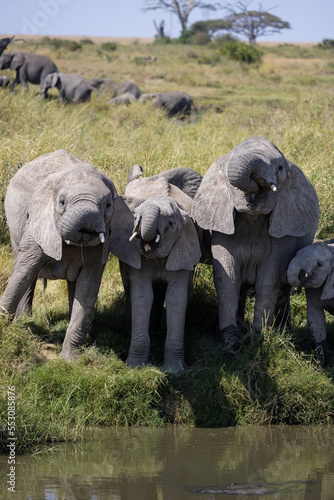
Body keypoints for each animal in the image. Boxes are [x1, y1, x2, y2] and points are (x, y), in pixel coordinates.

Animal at [0, 148, 118, 360]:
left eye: (108, 206)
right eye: (62, 202)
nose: (87, 228)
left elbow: (88, 288)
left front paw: (70, 360)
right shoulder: (38, 221)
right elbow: (22, 273)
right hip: (14, 229)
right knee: (27, 274)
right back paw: (25, 325)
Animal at [109, 166, 202, 374]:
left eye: (171, 224)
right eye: (135, 217)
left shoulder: (182, 249)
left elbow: (176, 298)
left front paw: (175, 371)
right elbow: (143, 296)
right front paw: (135, 367)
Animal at [190, 137, 318, 356]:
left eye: (280, 168)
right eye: (227, 167)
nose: (259, 181)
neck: (252, 217)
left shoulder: (283, 233)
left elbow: (268, 280)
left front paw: (260, 339)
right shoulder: (222, 228)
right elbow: (227, 280)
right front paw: (230, 345)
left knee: (283, 290)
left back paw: (285, 336)